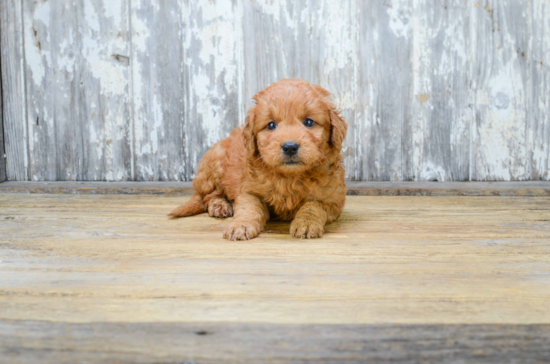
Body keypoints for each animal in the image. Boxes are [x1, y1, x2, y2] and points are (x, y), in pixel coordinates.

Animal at [169, 78, 350, 240]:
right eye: (271, 125)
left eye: (309, 122)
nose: (290, 147)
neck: (289, 177)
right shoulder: (249, 190)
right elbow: (249, 208)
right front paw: (240, 225)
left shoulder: (332, 200)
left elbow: (313, 206)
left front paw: (306, 224)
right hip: (214, 164)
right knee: (209, 196)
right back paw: (220, 206)